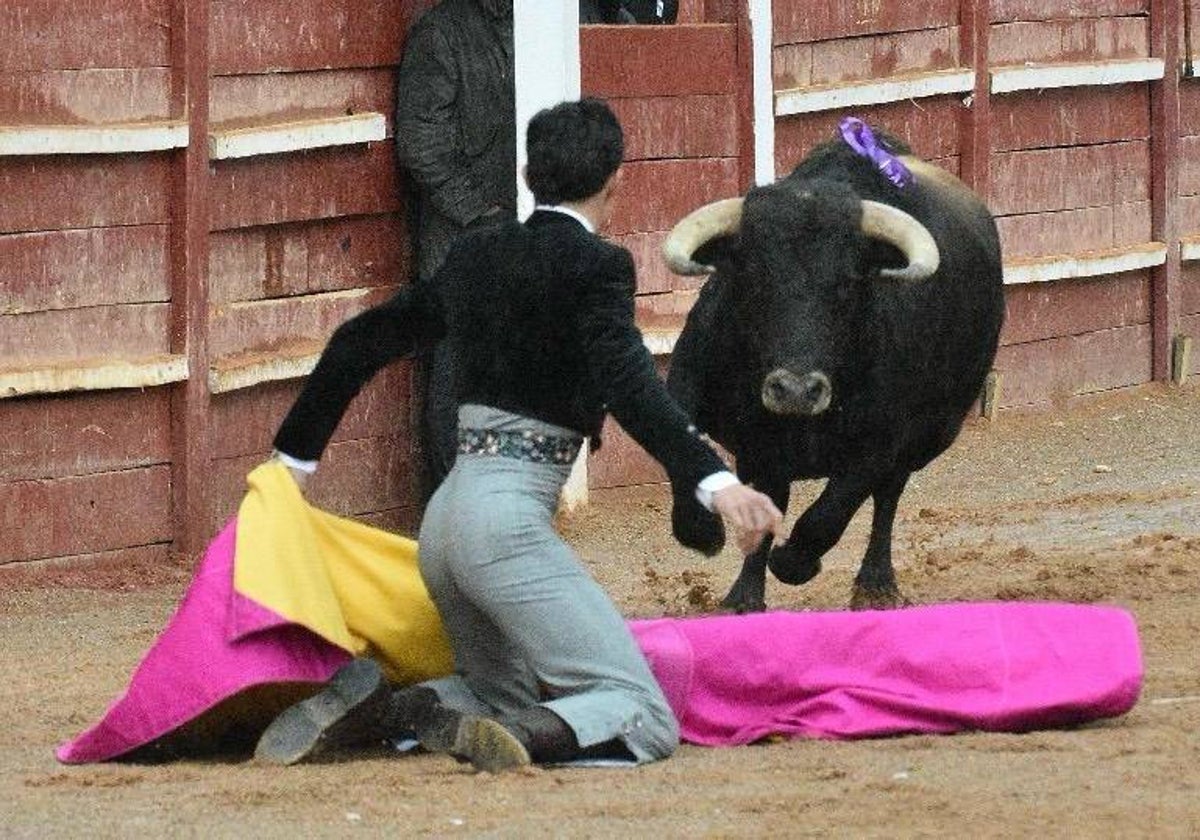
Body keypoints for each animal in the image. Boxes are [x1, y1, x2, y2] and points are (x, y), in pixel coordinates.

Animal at [667, 120, 1003, 609]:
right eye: (753, 279)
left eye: (847, 284)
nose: (795, 391)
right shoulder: (690, 390)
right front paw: (702, 533)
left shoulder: (881, 444)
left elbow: (829, 513)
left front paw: (795, 562)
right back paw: (744, 597)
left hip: (932, 436)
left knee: (886, 497)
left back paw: (875, 583)